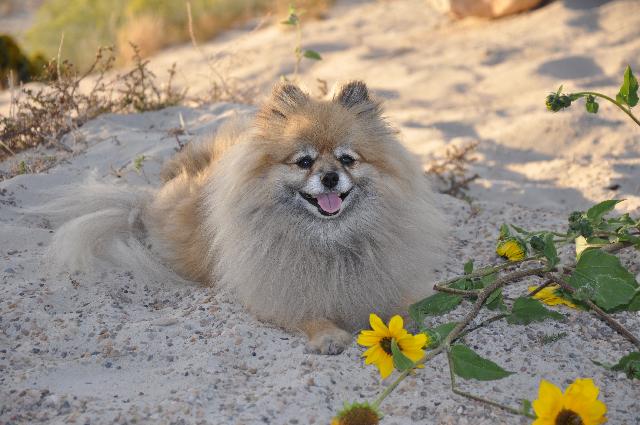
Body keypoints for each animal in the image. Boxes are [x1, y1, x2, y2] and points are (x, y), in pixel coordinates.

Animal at [46, 81, 444, 352]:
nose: (330, 176)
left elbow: (407, 305)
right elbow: (308, 313)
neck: (330, 240)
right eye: (304, 161)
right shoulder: (277, 293)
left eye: (348, 159)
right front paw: (329, 335)